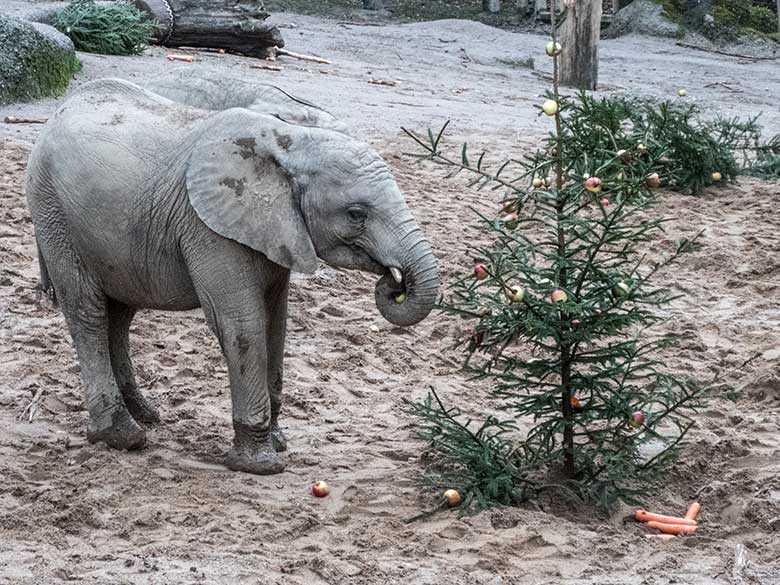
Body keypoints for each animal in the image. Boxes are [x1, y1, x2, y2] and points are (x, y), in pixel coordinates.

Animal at [24, 77, 438, 474]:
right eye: (356, 214)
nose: (395, 284)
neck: (290, 141)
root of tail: (59, 110)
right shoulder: (209, 228)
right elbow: (242, 324)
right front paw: (260, 465)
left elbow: (276, 324)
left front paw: (278, 441)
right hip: (52, 211)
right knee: (88, 311)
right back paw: (122, 436)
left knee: (120, 313)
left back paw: (146, 415)